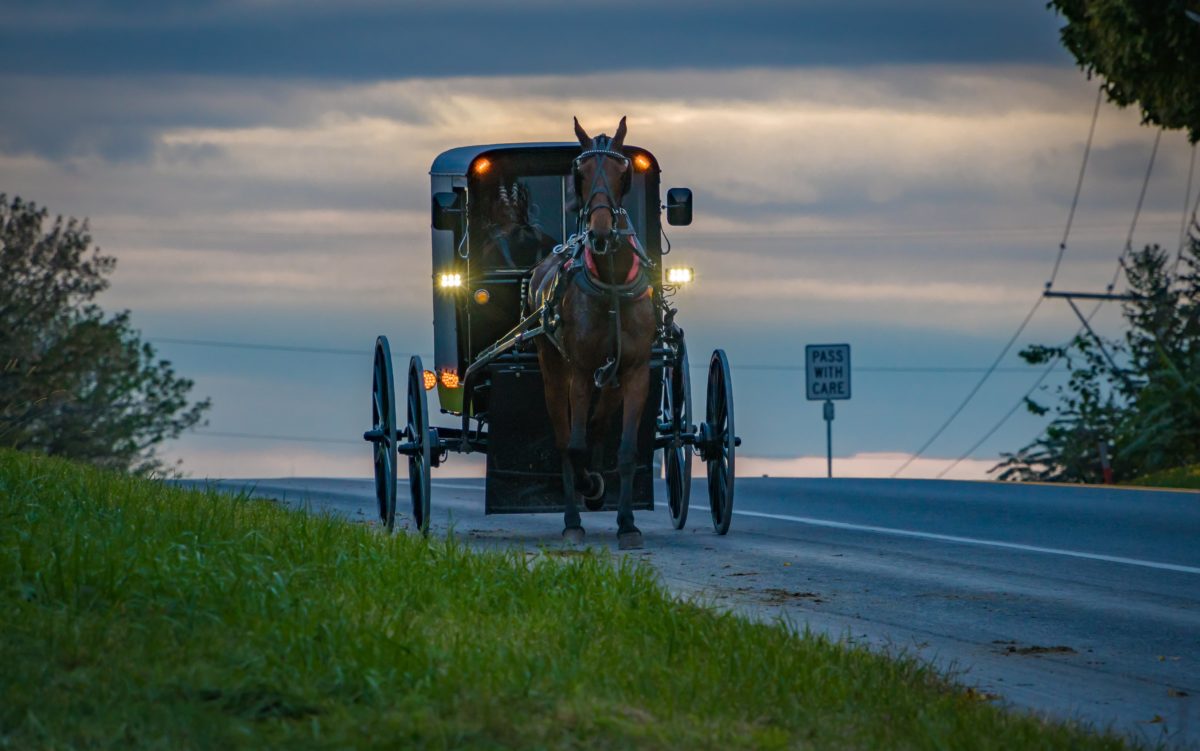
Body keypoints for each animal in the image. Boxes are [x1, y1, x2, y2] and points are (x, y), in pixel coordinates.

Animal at [530, 118, 657, 549]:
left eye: (623, 172)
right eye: (580, 173)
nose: (601, 232)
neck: (613, 283)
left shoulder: (636, 371)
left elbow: (627, 450)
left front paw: (628, 524)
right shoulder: (582, 373)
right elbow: (575, 446)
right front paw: (588, 490)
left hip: (611, 378)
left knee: (600, 425)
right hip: (554, 372)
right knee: (564, 439)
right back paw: (573, 515)